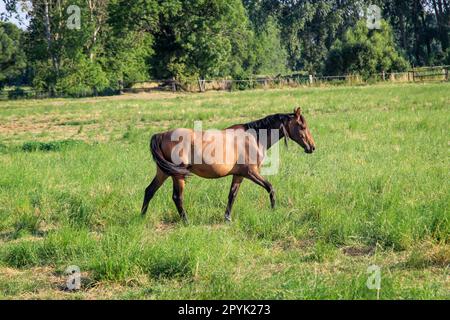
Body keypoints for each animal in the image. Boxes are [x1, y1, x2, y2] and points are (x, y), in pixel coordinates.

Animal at [142, 107, 316, 222]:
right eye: (302, 126)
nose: (312, 147)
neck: (254, 138)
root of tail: (162, 134)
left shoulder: (238, 175)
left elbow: (232, 195)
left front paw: (227, 218)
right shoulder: (251, 173)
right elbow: (270, 188)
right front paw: (273, 210)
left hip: (163, 172)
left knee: (149, 191)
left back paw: (142, 216)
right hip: (178, 175)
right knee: (177, 197)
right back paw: (186, 221)